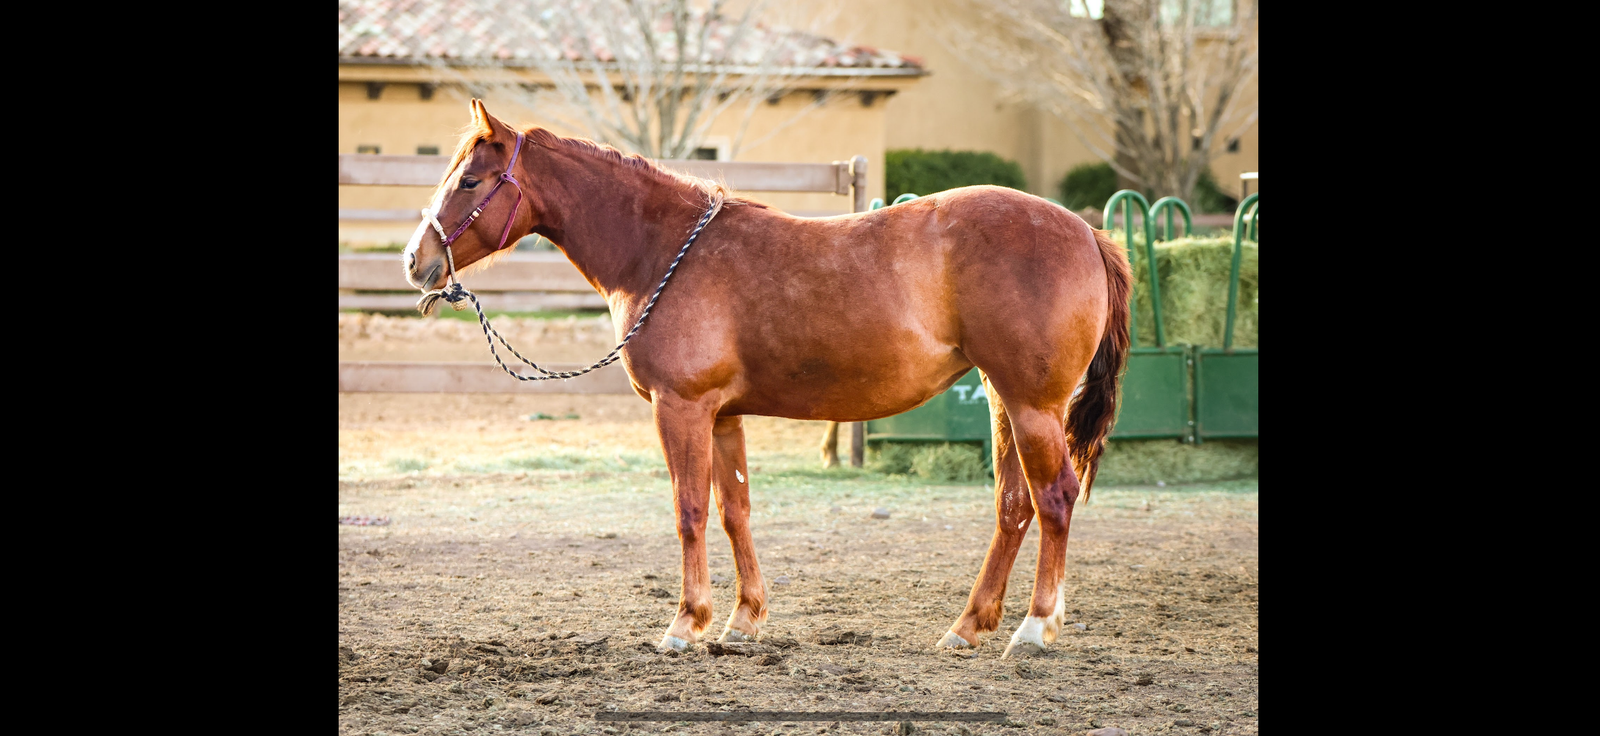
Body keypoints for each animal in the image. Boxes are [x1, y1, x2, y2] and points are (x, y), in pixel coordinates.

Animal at [403, 100, 1132, 658]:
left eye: (470, 181)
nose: (415, 260)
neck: (663, 252)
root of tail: (1087, 232)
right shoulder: (723, 416)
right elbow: (735, 510)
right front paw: (743, 618)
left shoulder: (681, 408)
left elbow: (690, 511)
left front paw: (684, 624)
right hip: (1005, 403)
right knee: (1013, 506)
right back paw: (968, 627)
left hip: (1033, 406)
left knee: (1054, 500)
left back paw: (1035, 628)